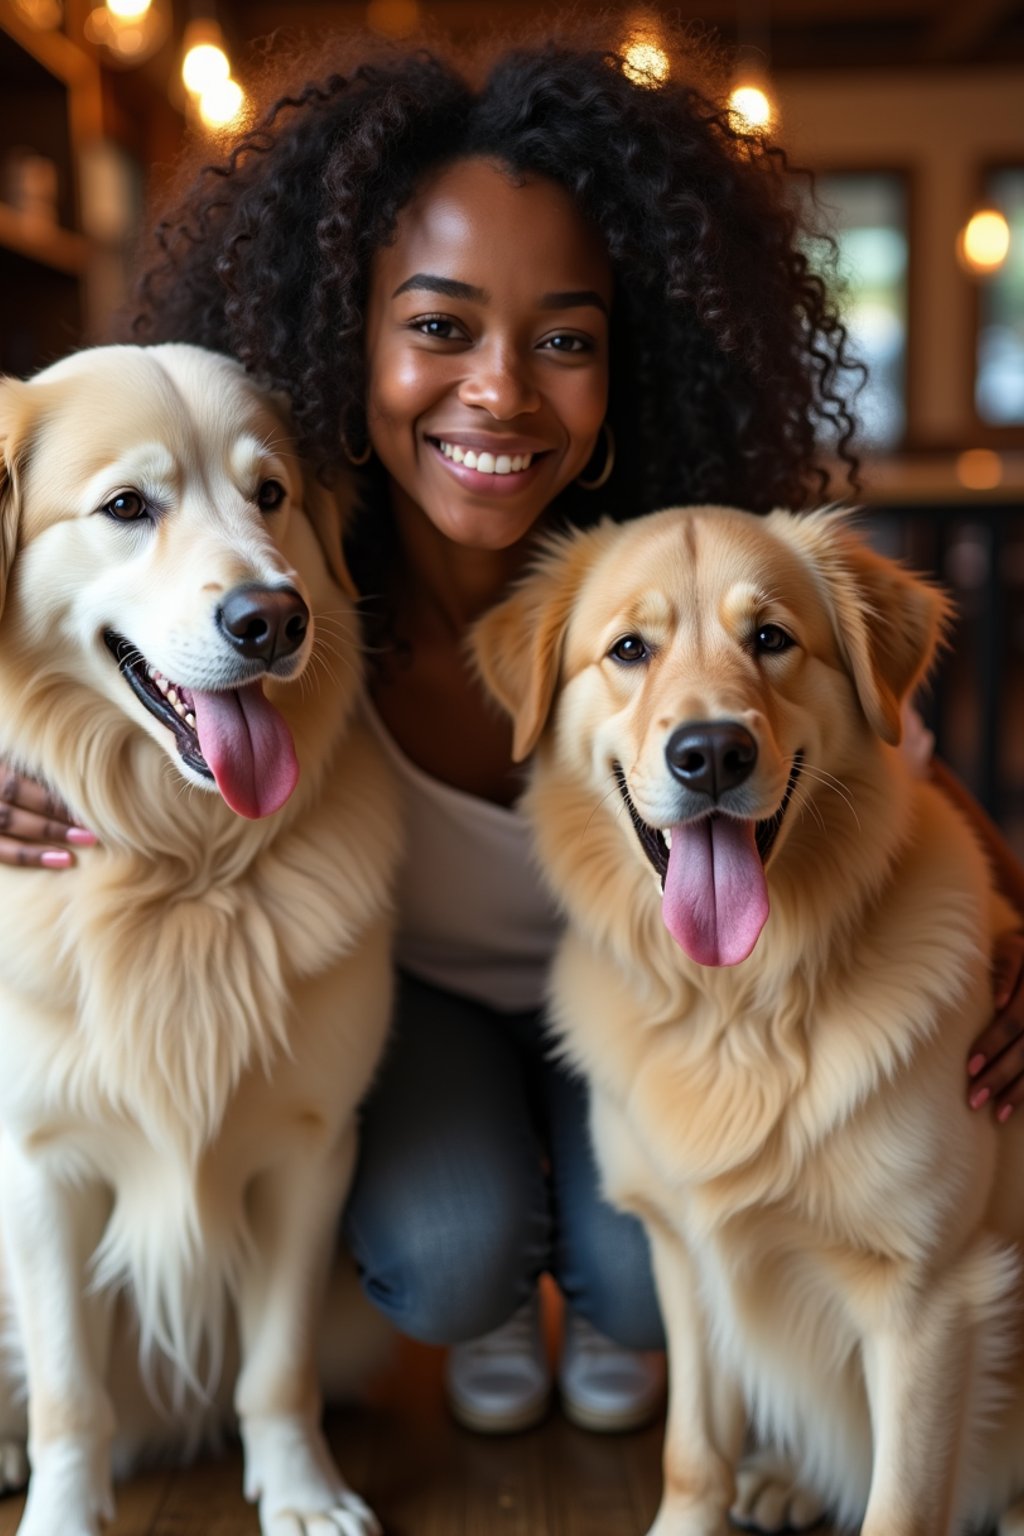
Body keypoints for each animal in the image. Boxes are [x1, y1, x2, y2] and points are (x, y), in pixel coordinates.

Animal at [0, 345, 399, 1536]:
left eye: (270, 495)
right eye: (128, 506)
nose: (275, 618)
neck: (177, 871)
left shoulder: (313, 1146)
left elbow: (276, 1366)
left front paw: (304, 1494)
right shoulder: (36, 1164)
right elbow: (70, 1392)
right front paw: (62, 1512)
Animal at [475, 503, 1024, 1536]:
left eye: (771, 639)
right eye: (630, 649)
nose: (712, 753)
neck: (735, 1005)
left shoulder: (930, 1296)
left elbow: (901, 1505)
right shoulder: (684, 1256)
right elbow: (693, 1453)